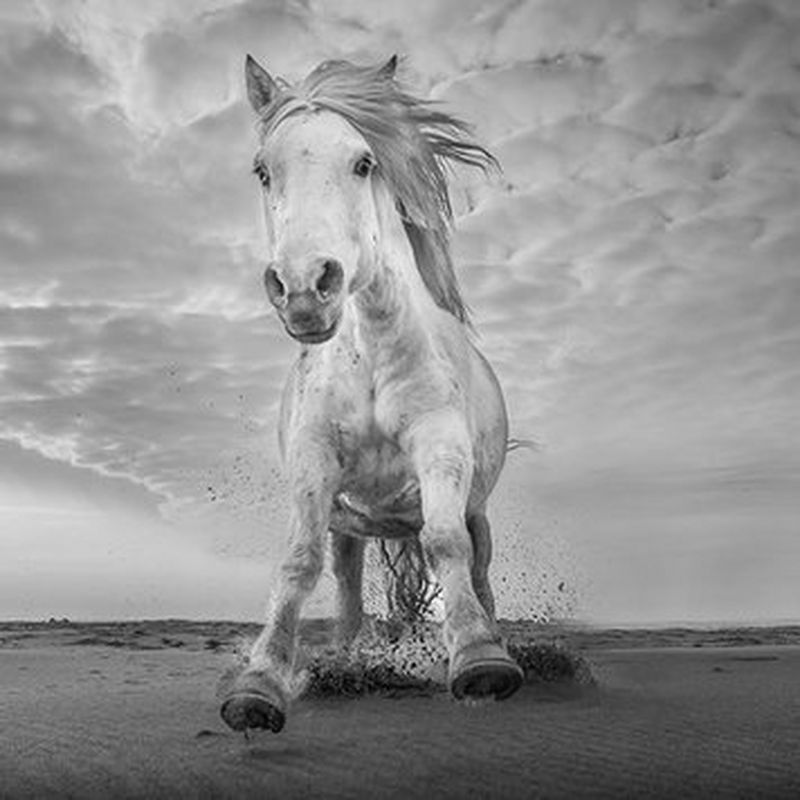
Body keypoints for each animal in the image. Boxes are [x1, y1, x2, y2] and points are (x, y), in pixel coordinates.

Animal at [220, 54, 524, 733]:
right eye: (262, 170)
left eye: (363, 163)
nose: (304, 288)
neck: (373, 361)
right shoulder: (314, 459)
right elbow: (297, 561)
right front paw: (260, 684)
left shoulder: (439, 446)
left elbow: (444, 543)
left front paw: (479, 659)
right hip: (349, 529)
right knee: (349, 591)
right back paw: (348, 659)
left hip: (478, 509)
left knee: (478, 567)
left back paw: (491, 636)